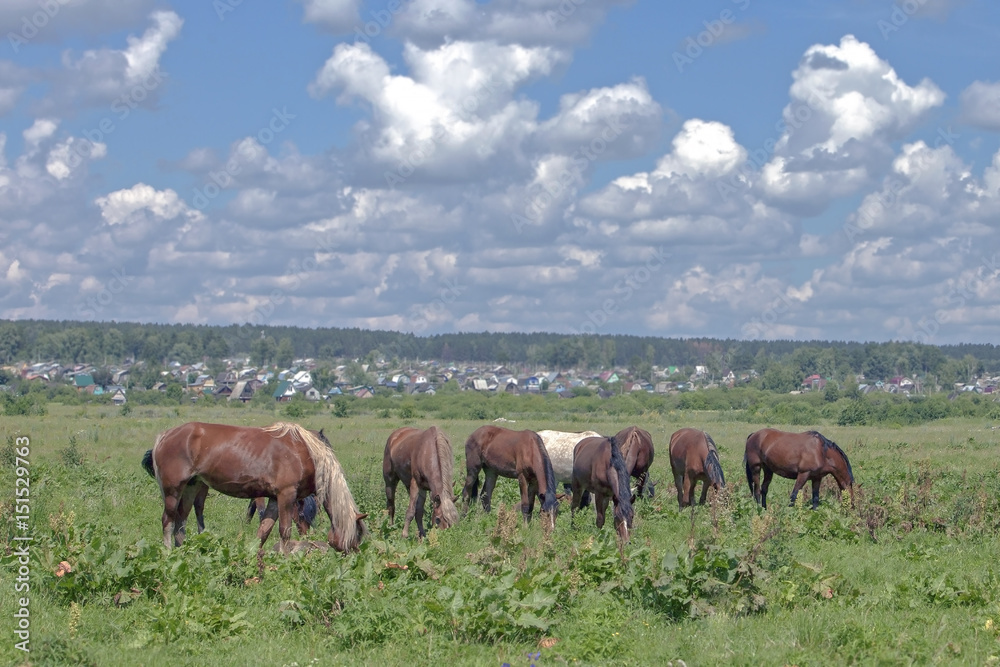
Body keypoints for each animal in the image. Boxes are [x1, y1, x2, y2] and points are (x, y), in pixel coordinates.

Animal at [143, 422, 370, 560]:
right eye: (356, 537)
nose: (354, 558)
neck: (306, 453)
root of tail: (165, 435)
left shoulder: (274, 499)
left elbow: (263, 531)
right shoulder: (286, 495)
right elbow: (284, 531)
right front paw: (286, 560)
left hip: (193, 486)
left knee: (181, 520)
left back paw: (184, 553)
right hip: (173, 490)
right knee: (168, 521)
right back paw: (168, 553)